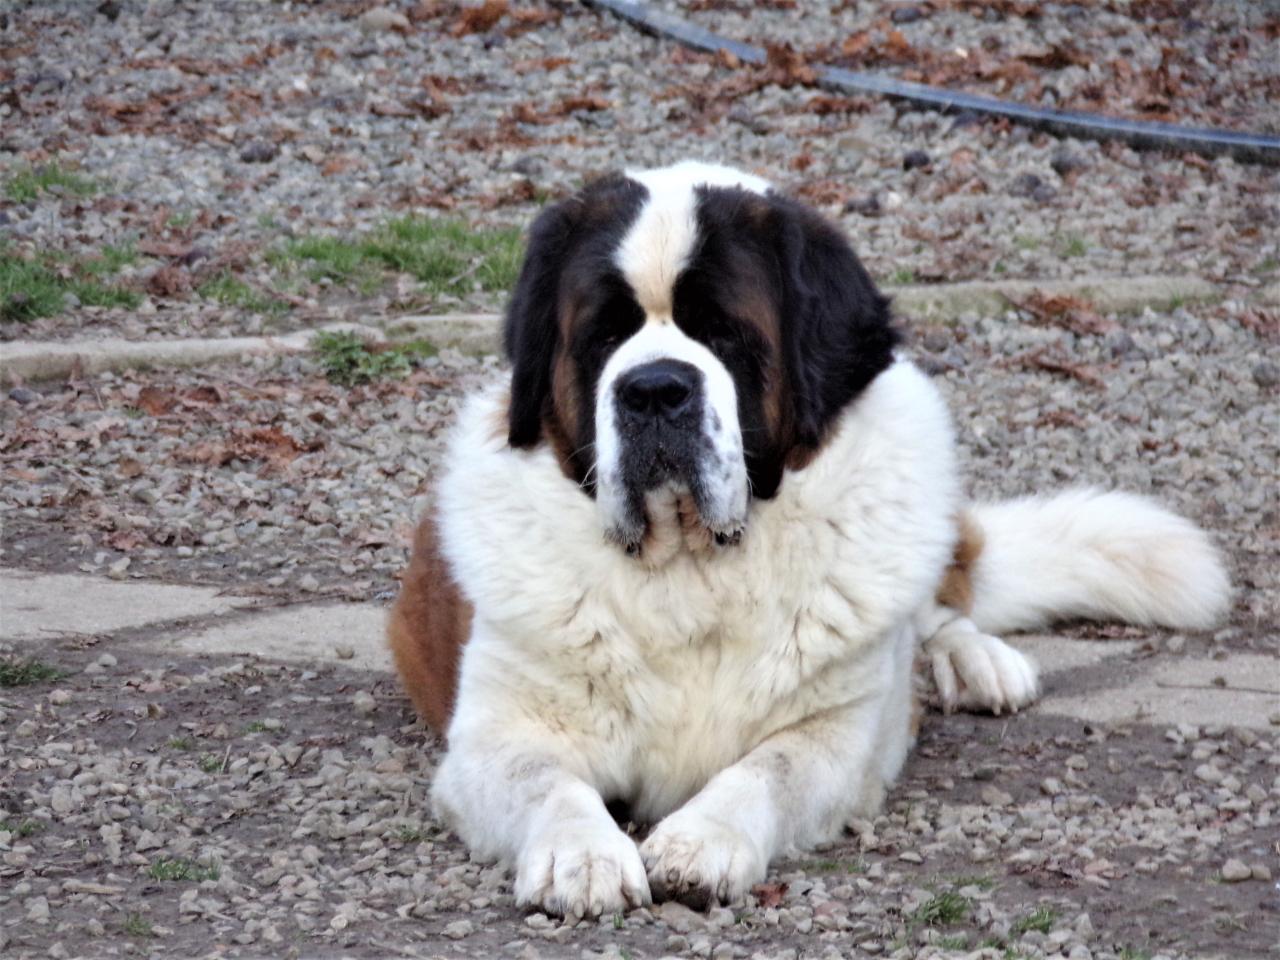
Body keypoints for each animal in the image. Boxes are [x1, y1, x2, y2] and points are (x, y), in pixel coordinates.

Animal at [386, 161, 1228, 921]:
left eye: (724, 333)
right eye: (602, 336)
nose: (654, 389)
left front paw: (699, 843)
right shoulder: (497, 736)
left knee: (941, 605)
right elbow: (548, 781)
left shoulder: (839, 735)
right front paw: (580, 856)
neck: (692, 567)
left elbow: (770, 769)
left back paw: (975, 661)